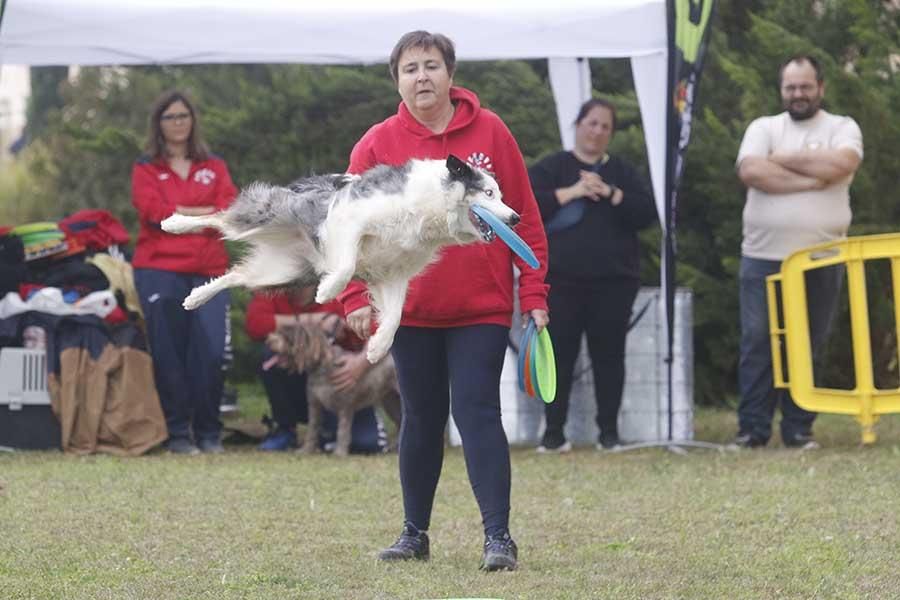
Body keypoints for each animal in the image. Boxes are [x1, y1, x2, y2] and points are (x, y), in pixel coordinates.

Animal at [266, 312, 402, 458]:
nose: (268, 340)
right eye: (279, 332)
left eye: (287, 337)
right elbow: (312, 429)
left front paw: (340, 452)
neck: (320, 367)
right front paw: (306, 450)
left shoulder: (345, 405)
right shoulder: (314, 405)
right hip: (390, 401)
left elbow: (342, 430)